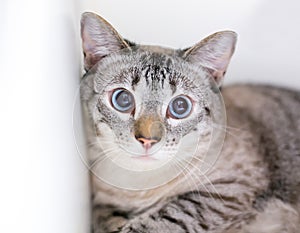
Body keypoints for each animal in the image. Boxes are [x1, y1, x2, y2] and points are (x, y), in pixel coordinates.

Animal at [79, 11, 300, 232]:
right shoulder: (101, 205)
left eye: (180, 106)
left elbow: (166, 218)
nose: (148, 140)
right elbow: (103, 218)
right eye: (123, 100)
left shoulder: (228, 190)